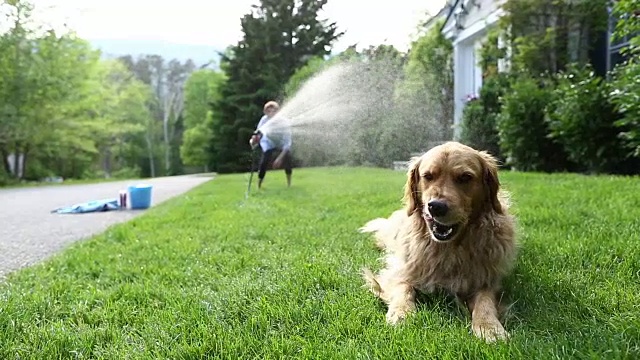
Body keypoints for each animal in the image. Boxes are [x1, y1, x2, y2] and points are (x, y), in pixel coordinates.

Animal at [358, 141, 516, 344]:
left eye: (465, 177)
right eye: (428, 176)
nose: (436, 207)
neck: (449, 248)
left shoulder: (486, 279)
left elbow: (485, 301)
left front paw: (490, 327)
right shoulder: (401, 269)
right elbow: (403, 288)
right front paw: (401, 313)